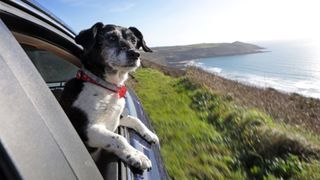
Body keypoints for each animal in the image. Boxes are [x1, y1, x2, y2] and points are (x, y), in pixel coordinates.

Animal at [59, 22, 159, 170]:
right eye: (111, 38)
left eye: (134, 40)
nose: (135, 54)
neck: (106, 88)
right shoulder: (85, 130)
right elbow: (118, 138)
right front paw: (136, 155)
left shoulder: (117, 118)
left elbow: (134, 119)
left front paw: (150, 134)